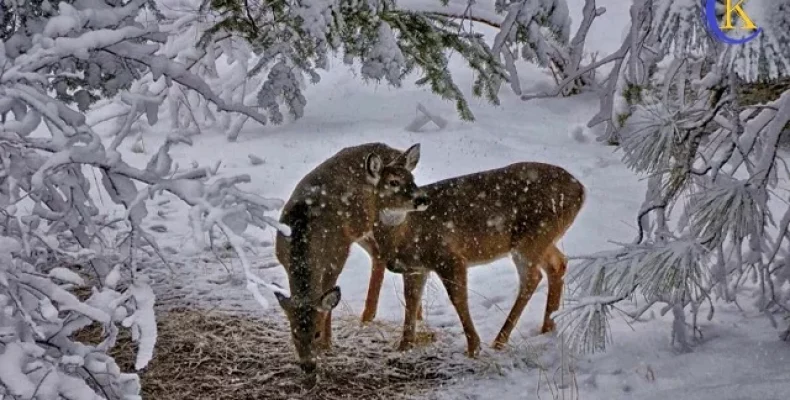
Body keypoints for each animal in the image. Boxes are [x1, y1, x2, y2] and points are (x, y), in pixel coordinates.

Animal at [276, 142, 430, 374]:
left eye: (316, 333)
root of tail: (395, 151)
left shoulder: (336, 257)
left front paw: (327, 345)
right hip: (362, 230)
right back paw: (370, 316)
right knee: (378, 255)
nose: (308, 366)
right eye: (294, 333)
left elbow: (328, 301)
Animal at [372, 162, 588, 356]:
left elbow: (458, 298)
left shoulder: (449, 257)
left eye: (412, 179)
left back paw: (499, 341)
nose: (422, 200)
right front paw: (404, 346)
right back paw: (547, 328)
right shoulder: (415, 268)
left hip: (532, 237)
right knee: (558, 263)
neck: (404, 232)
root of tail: (581, 190)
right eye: (393, 182)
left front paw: (473, 347)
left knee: (532, 277)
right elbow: (411, 299)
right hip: (541, 239)